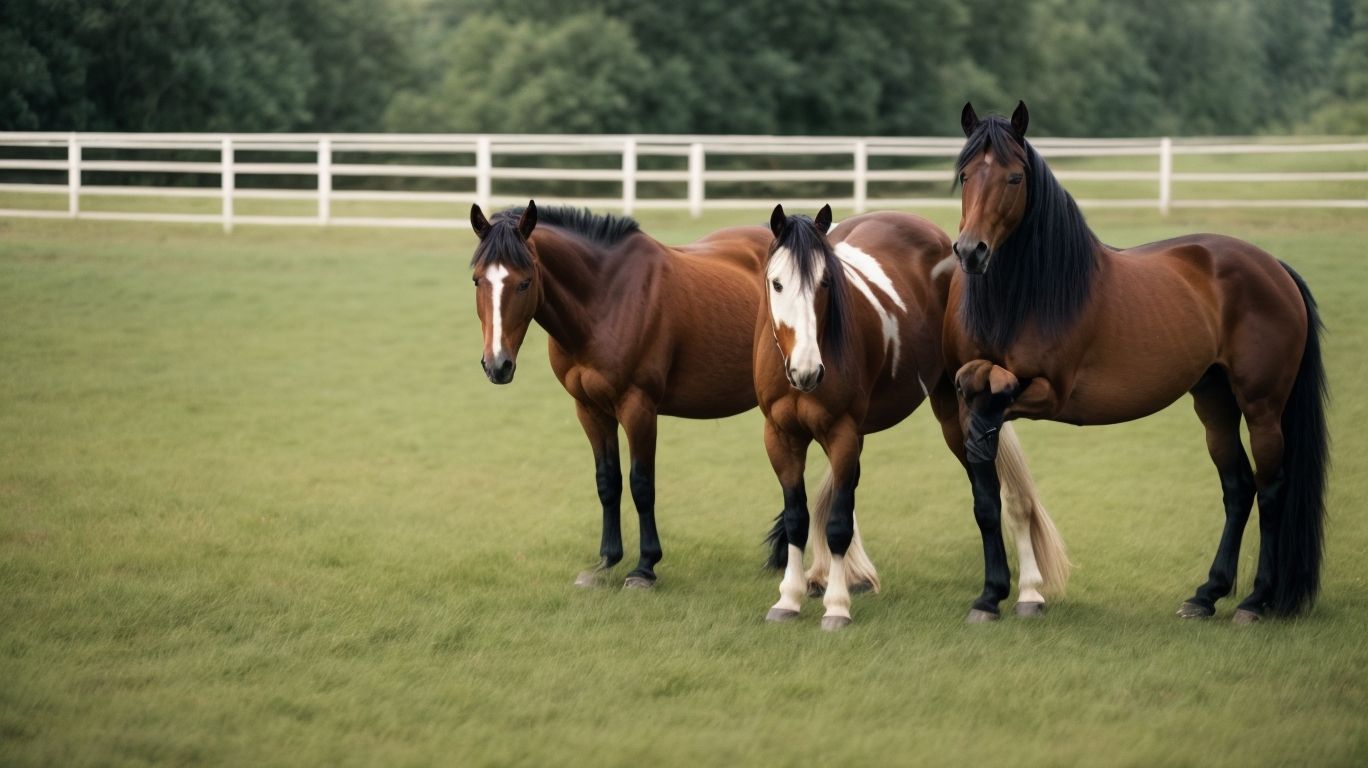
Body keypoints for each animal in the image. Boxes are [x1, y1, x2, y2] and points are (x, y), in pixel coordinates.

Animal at [467, 201, 883, 588]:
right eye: (476, 280)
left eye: (524, 282)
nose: (497, 364)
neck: (607, 297)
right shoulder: (589, 408)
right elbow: (607, 482)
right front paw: (606, 560)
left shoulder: (638, 407)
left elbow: (641, 483)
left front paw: (644, 567)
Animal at [756, 204, 1069, 630]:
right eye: (777, 284)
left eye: (825, 282)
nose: (806, 371)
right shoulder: (780, 436)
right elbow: (796, 519)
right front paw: (788, 599)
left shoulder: (843, 434)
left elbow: (837, 524)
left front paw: (836, 606)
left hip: (957, 414)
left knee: (1002, 492)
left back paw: (1028, 591)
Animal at [947, 101, 1329, 624]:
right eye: (965, 175)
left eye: (1014, 177)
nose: (971, 251)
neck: (1029, 295)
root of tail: (1275, 268)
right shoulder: (974, 405)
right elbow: (986, 498)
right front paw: (989, 596)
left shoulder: (1051, 393)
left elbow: (1000, 392)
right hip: (1214, 402)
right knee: (1238, 488)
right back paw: (1206, 595)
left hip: (1262, 408)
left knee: (1271, 491)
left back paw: (1254, 601)